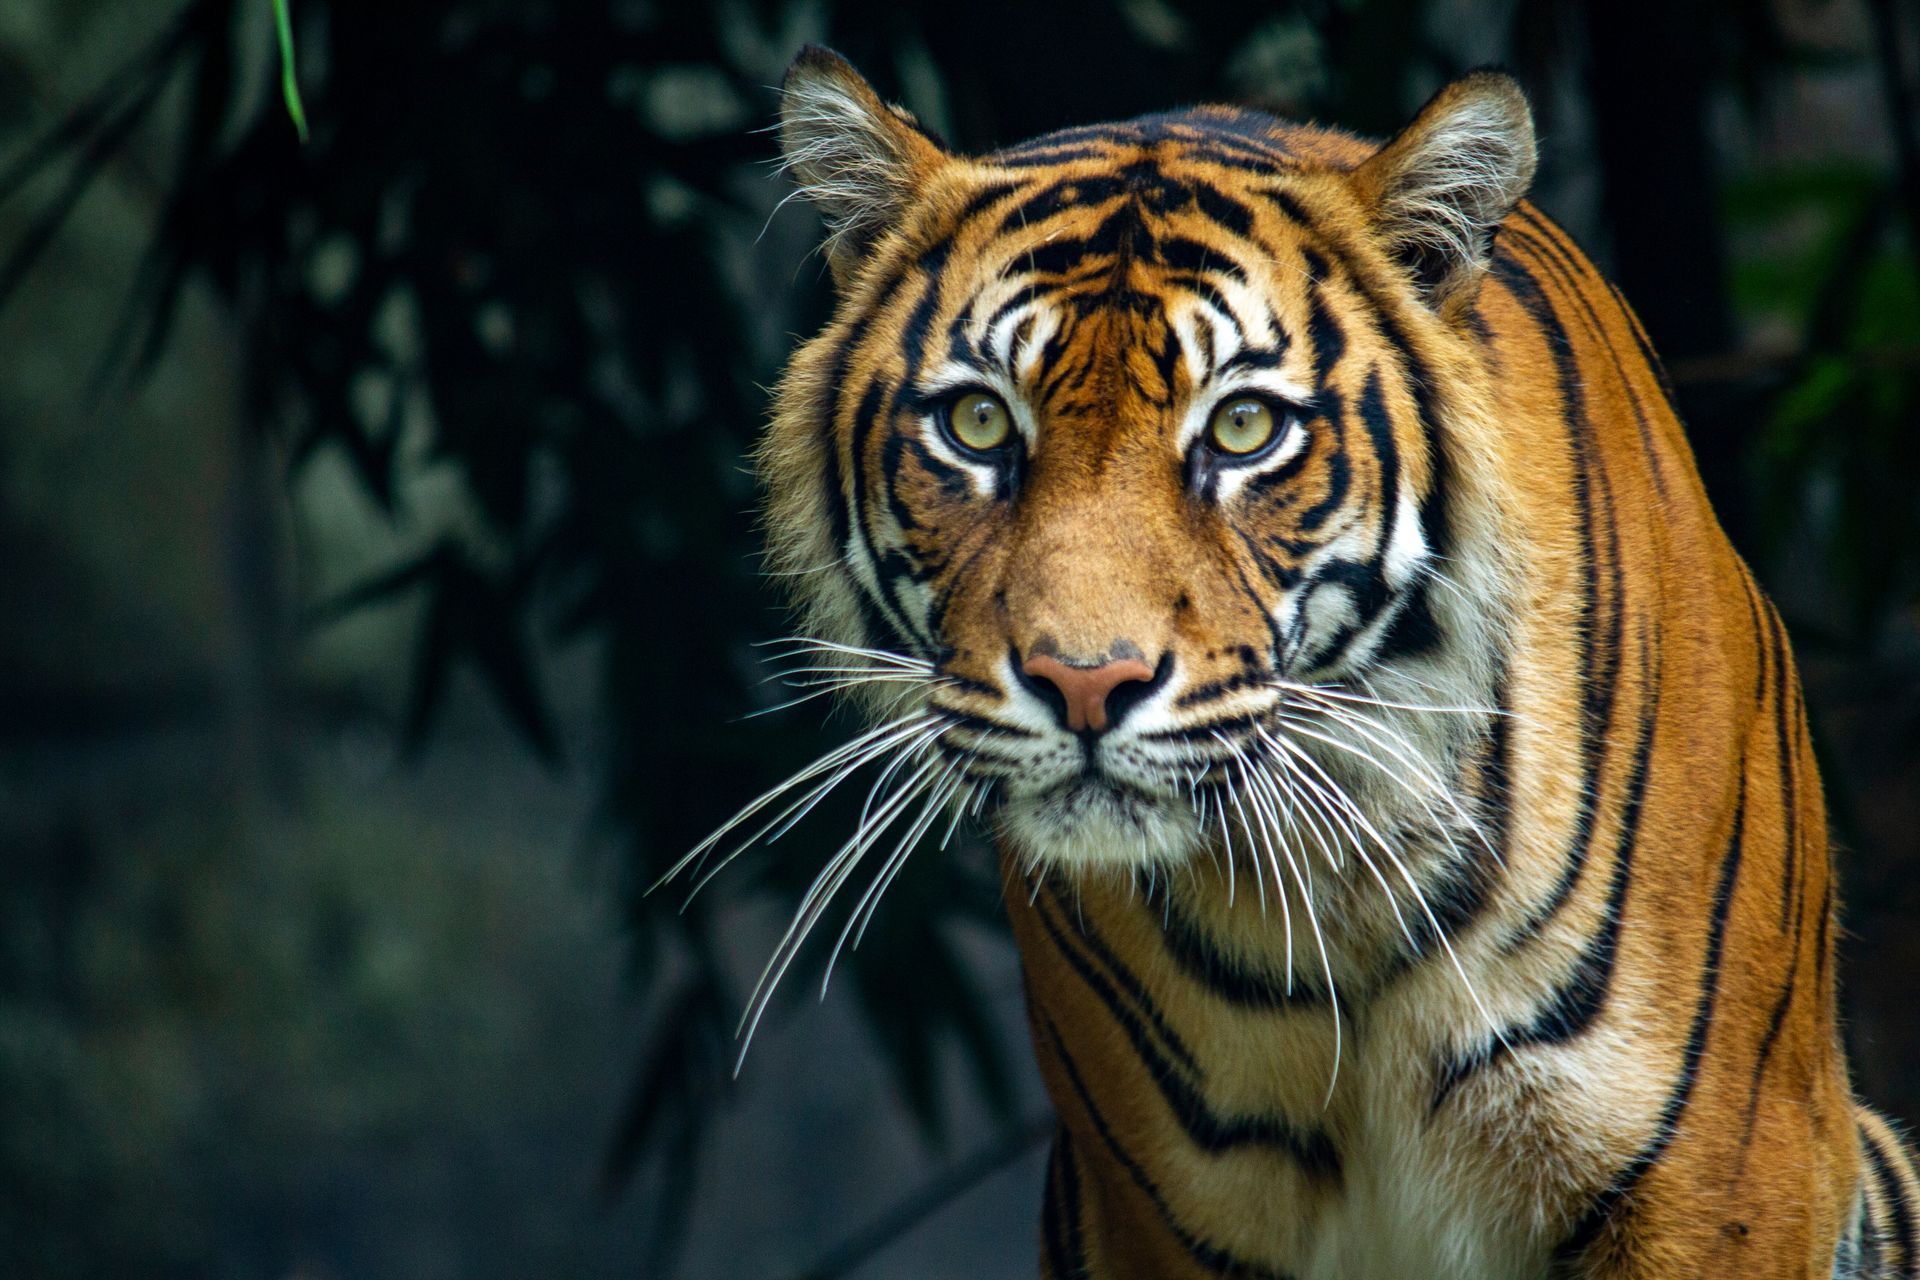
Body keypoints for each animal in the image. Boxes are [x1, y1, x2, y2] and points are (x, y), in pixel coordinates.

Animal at [692, 42, 1920, 1279]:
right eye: (979, 424)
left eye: (1243, 429)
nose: (1085, 682)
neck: (1339, 896)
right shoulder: (1162, 1218)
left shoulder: (1717, 1175)